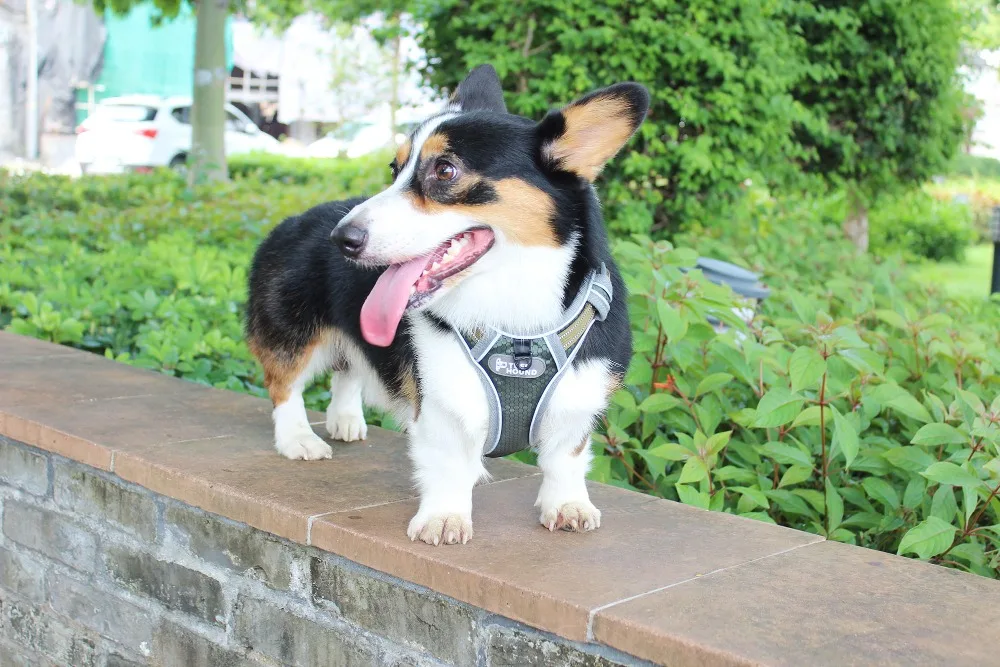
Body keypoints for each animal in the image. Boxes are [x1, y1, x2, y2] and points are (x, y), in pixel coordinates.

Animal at [248, 65, 648, 544]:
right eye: (395, 168)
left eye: (444, 169)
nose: (341, 239)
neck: (517, 324)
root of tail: (295, 219)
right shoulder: (441, 402)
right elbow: (449, 463)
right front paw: (445, 517)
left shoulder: (579, 398)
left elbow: (564, 459)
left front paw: (568, 505)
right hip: (293, 331)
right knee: (284, 384)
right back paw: (298, 439)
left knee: (348, 369)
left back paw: (345, 420)